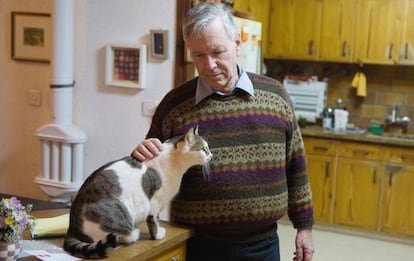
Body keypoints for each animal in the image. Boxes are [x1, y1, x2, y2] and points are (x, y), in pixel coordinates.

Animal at [63, 126, 212, 258]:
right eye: (204, 149)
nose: (211, 155)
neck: (175, 162)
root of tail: (72, 228)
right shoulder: (155, 203)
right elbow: (154, 221)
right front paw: (157, 235)